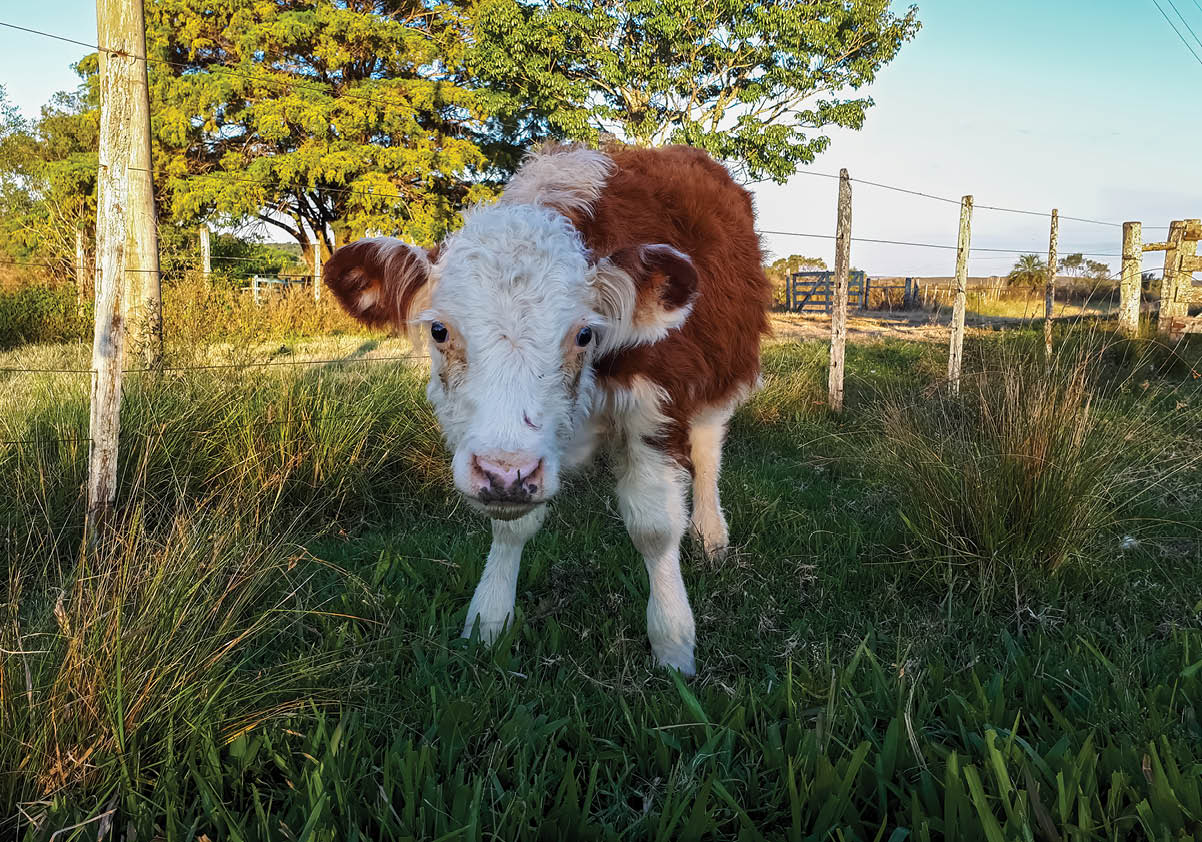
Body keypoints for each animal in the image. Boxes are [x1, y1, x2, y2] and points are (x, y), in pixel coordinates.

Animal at [323, 143, 771, 675]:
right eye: (439, 330)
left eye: (584, 334)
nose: (505, 474)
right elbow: (509, 529)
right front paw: (489, 619)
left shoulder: (655, 407)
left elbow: (655, 527)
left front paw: (673, 640)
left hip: (722, 378)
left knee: (707, 454)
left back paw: (711, 535)